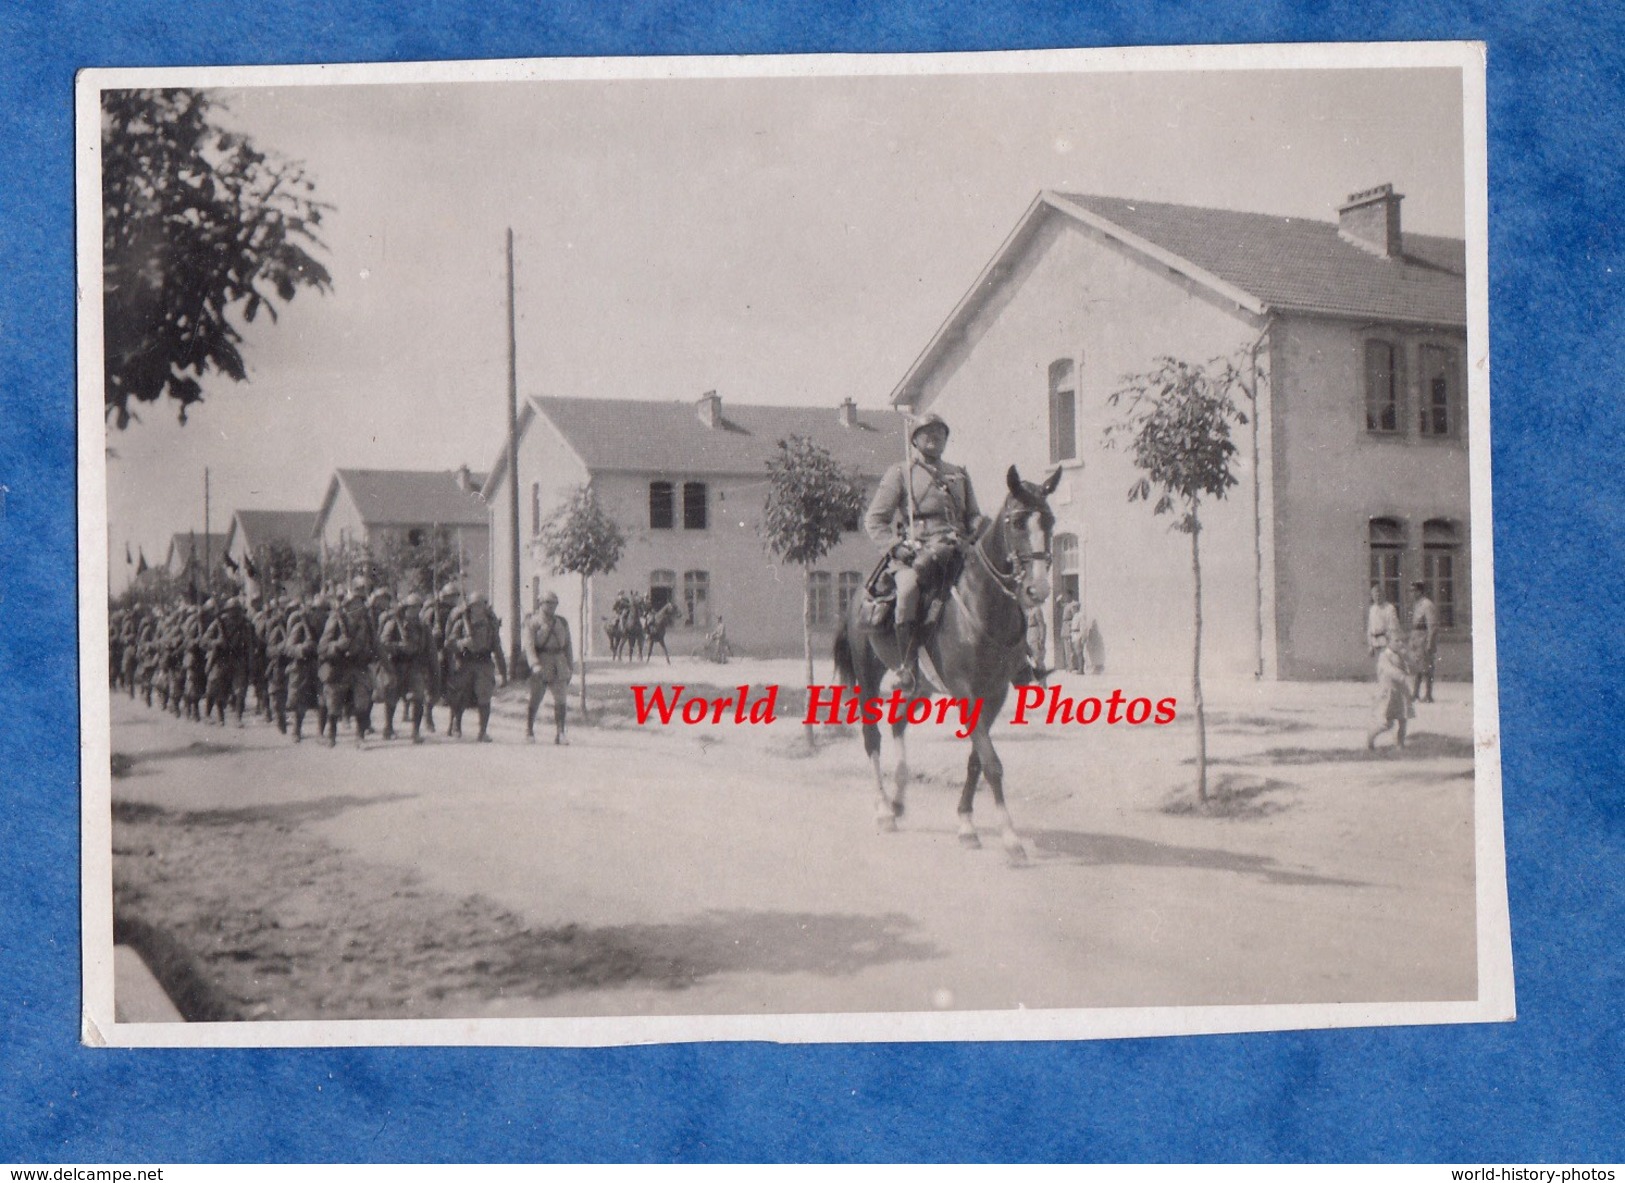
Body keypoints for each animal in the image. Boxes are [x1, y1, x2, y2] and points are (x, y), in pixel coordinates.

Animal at [832, 468, 1059, 864]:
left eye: (1050, 521)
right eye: (1017, 521)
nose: (1038, 590)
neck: (982, 607)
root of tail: (859, 591)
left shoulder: (994, 694)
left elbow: (976, 760)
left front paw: (966, 823)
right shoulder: (966, 692)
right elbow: (991, 762)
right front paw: (1010, 837)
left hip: (921, 685)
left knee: (897, 723)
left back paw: (898, 799)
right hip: (867, 675)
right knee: (872, 735)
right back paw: (883, 808)